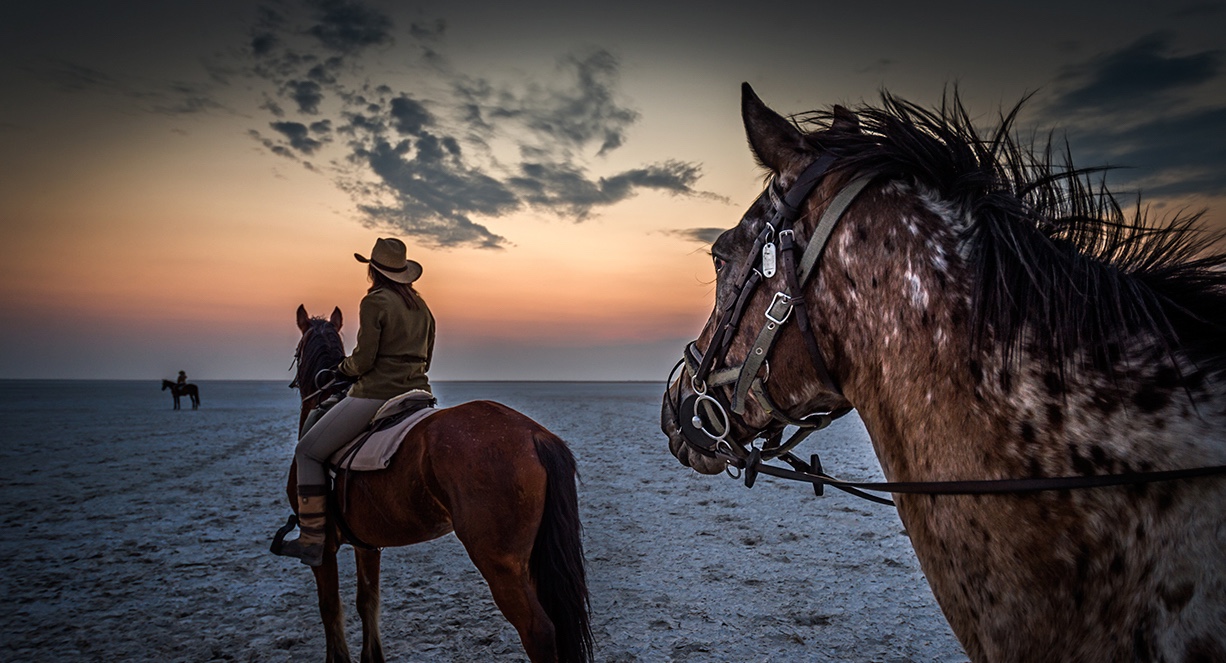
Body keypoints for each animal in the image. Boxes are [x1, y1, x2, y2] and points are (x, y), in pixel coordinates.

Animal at [277, 305, 588, 661]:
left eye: (297, 350)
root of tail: (535, 435)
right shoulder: (365, 544)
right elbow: (367, 602)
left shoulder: (325, 547)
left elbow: (330, 607)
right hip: (530, 560)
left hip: (501, 564)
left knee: (539, 630)